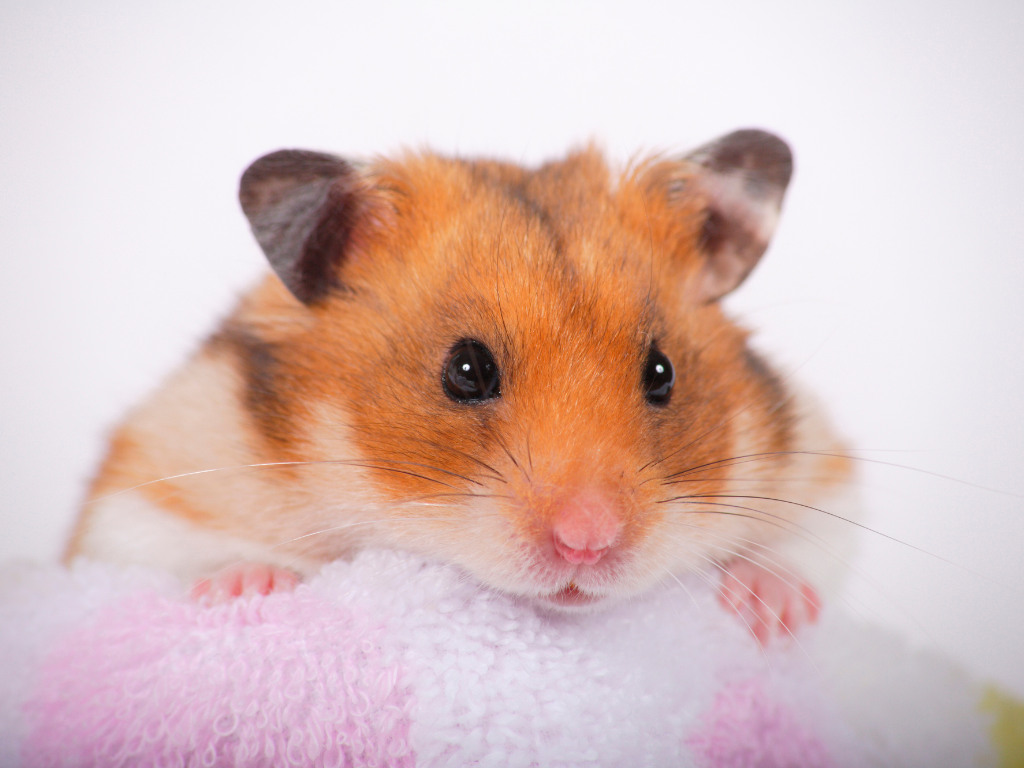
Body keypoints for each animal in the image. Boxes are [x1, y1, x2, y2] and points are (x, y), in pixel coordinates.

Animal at [65, 129, 856, 642]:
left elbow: (815, 536)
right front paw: (250, 588)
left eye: (662, 374)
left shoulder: (816, 460)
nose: (588, 546)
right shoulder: (146, 479)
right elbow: (157, 542)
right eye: (466, 371)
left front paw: (770, 608)